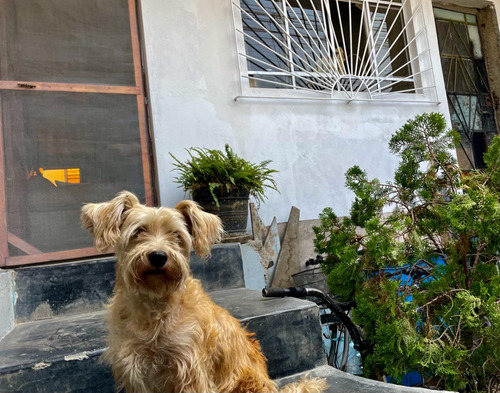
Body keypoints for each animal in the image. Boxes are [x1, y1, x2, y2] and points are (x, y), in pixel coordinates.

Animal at [80, 191, 326, 392]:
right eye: (138, 231)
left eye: (177, 235)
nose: (158, 256)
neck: (155, 305)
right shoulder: (136, 371)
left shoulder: (190, 369)